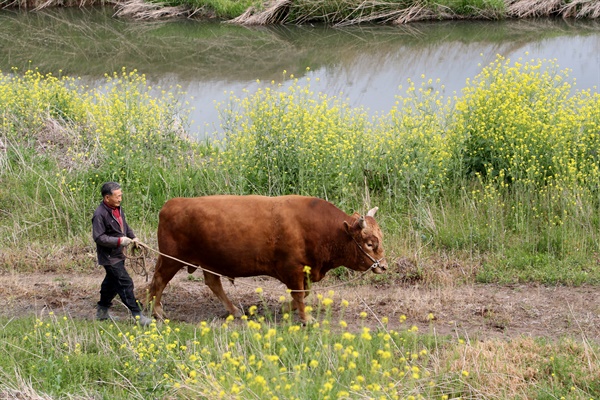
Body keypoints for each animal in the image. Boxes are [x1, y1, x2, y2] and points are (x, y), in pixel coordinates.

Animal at [148, 195, 386, 322]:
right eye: (369, 243)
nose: (383, 266)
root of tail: (172, 203)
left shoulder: (304, 271)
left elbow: (303, 293)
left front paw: (285, 309)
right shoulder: (293, 268)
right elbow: (300, 294)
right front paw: (306, 319)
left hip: (207, 263)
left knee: (213, 283)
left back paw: (234, 311)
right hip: (171, 260)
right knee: (159, 281)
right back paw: (156, 311)